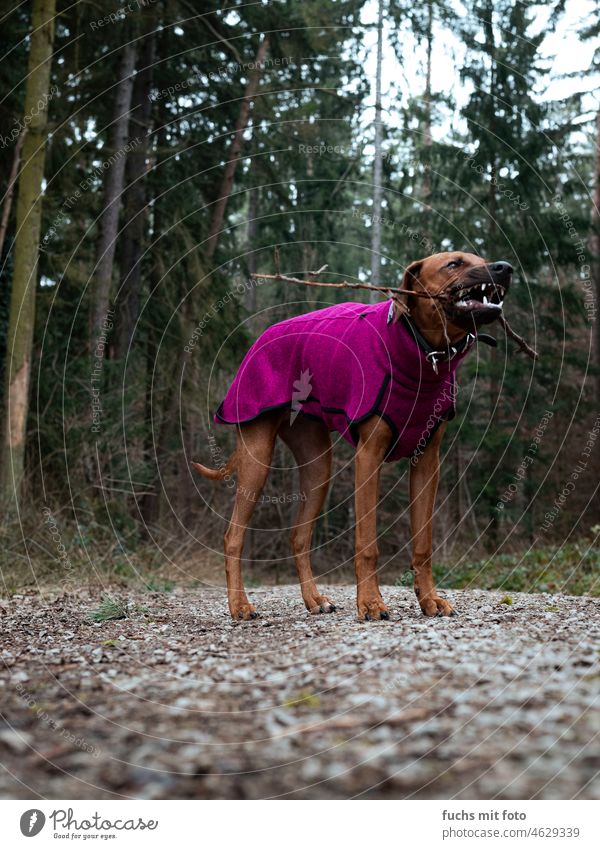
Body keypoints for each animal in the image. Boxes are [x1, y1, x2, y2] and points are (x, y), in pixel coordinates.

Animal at [195, 248, 512, 620]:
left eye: (481, 257)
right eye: (454, 264)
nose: (505, 268)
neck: (422, 354)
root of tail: (263, 335)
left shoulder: (427, 463)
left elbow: (423, 543)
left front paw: (429, 599)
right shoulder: (368, 457)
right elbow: (367, 544)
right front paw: (371, 603)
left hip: (318, 468)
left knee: (298, 537)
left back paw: (313, 599)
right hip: (257, 457)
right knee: (233, 536)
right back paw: (240, 605)